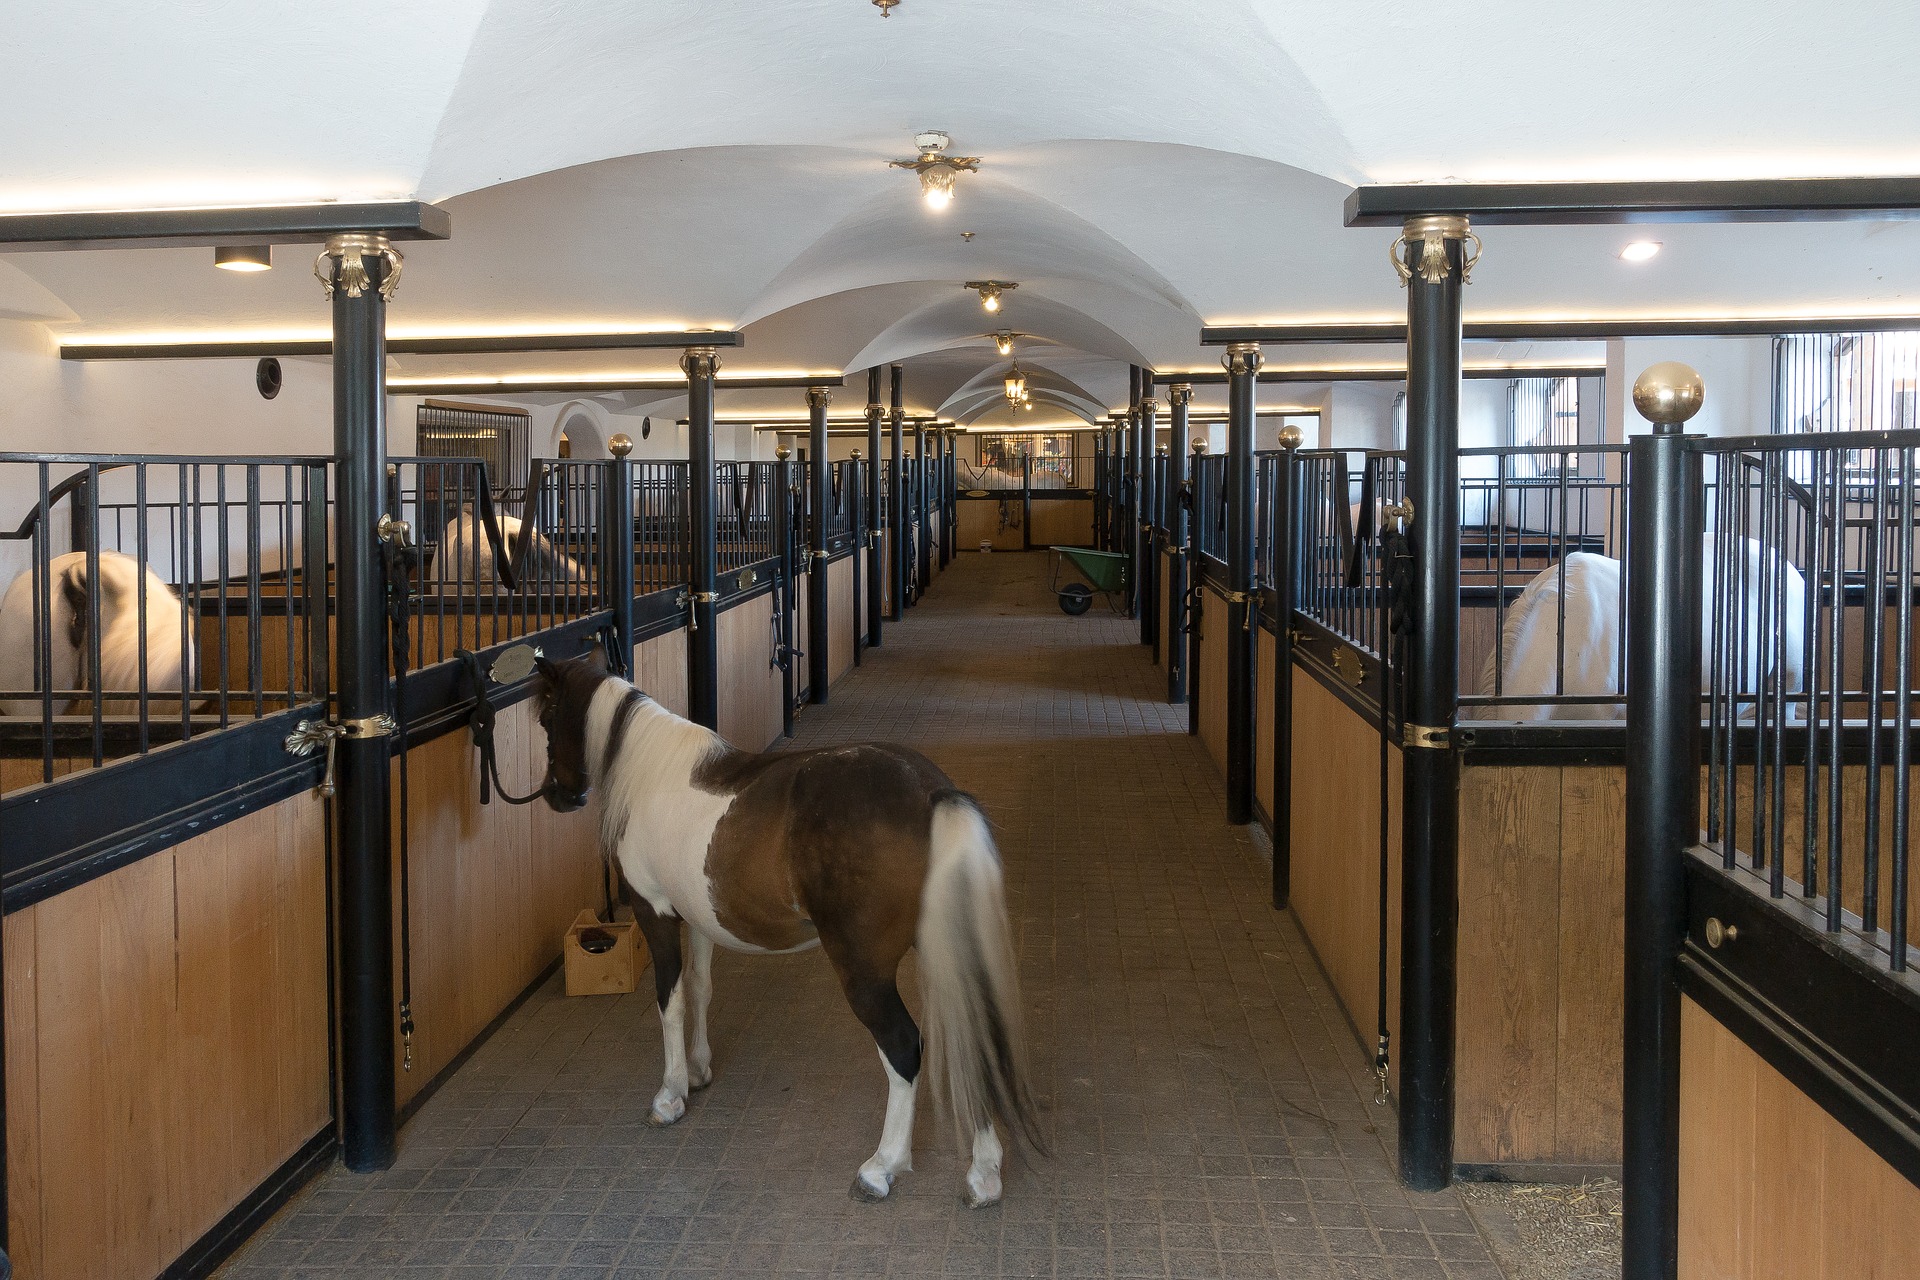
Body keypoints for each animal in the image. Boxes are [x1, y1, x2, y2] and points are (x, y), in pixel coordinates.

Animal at [526, 656, 1044, 1205]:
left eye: (547, 719)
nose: (557, 794)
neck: (647, 773)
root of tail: (931, 793)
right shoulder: (699, 918)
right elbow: (701, 988)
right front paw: (699, 1069)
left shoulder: (656, 914)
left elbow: (671, 1000)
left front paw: (670, 1095)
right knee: (977, 1036)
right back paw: (983, 1174)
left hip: (864, 971)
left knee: (904, 1048)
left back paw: (881, 1167)